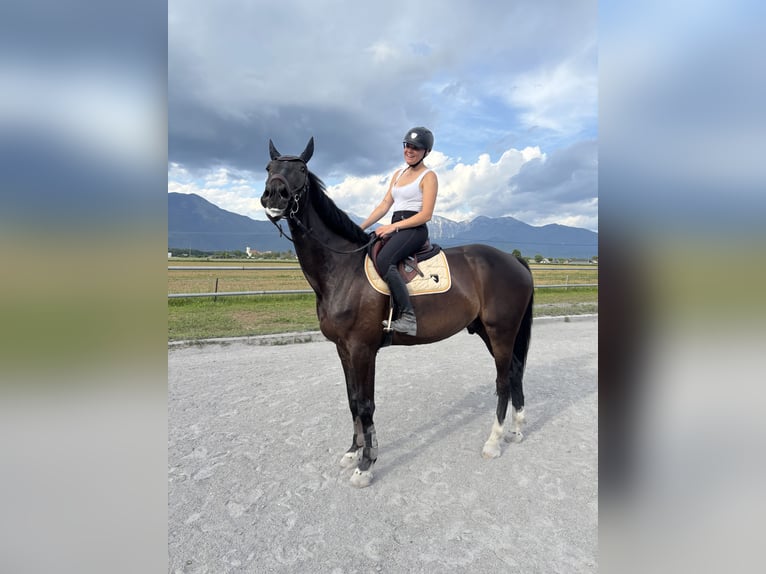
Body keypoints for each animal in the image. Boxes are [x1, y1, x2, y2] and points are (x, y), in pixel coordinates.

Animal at [260, 137, 534, 488]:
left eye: (302, 171)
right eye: (269, 167)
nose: (274, 195)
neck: (342, 268)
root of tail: (514, 260)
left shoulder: (363, 349)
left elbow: (366, 404)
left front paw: (366, 465)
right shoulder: (343, 350)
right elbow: (352, 400)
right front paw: (353, 453)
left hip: (501, 331)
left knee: (502, 380)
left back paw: (493, 442)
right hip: (489, 331)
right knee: (514, 371)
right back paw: (516, 430)